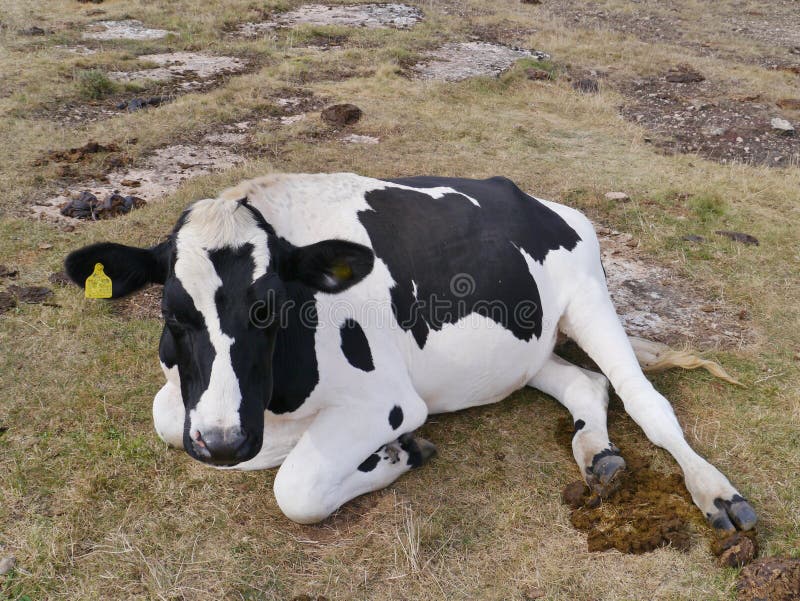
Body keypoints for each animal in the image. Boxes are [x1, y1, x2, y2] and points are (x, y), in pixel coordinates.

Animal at [64, 172, 756, 528]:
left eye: (268, 309)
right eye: (172, 314)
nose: (225, 442)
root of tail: (531, 198)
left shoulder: (388, 400)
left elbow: (297, 488)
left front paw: (396, 453)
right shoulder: (199, 409)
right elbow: (168, 420)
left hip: (590, 298)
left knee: (647, 400)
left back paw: (717, 494)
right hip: (523, 348)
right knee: (586, 384)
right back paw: (598, 456)